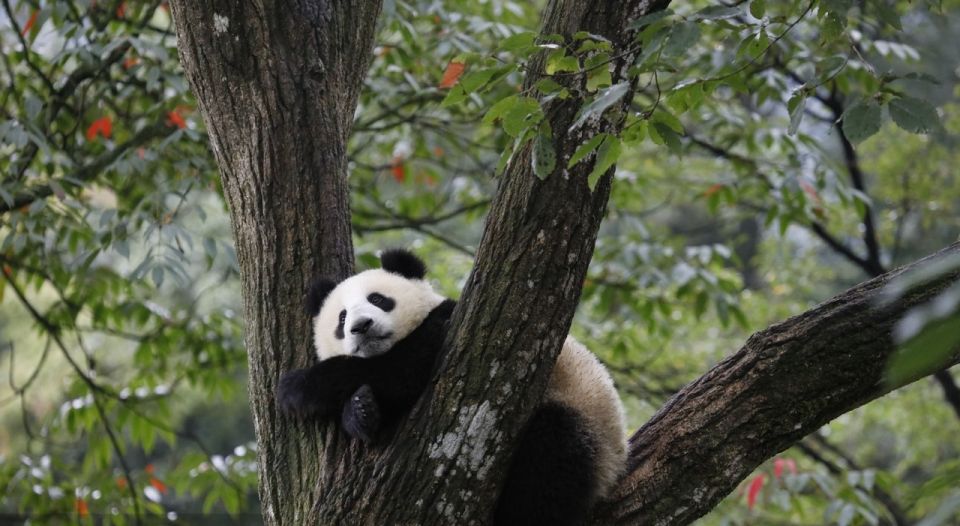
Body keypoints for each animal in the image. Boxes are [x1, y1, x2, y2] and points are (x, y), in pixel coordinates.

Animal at [278, 250, 628, 524]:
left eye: (378, 299)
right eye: (341, 318)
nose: (361, 326)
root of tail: (616, 466)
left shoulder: (449, 323)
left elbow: (404, 369)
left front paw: (297, 387)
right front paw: (360, 411)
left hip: (587, 425)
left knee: (552, 454)